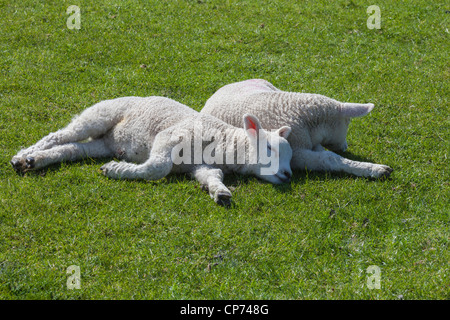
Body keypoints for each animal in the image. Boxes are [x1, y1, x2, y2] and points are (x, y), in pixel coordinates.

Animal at [10, 95, 294, 205]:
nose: (288, 175)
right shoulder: (170, 136)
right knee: (62, 134)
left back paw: (33, 160)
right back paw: (21, 155)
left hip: (101, 143)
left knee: (72, 148)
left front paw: (220, 192)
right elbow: (157, 167)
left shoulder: (200, 165)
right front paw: (116, 170)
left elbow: (212, 176)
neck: (222, 146)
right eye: (269, 148)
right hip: (99, 114)